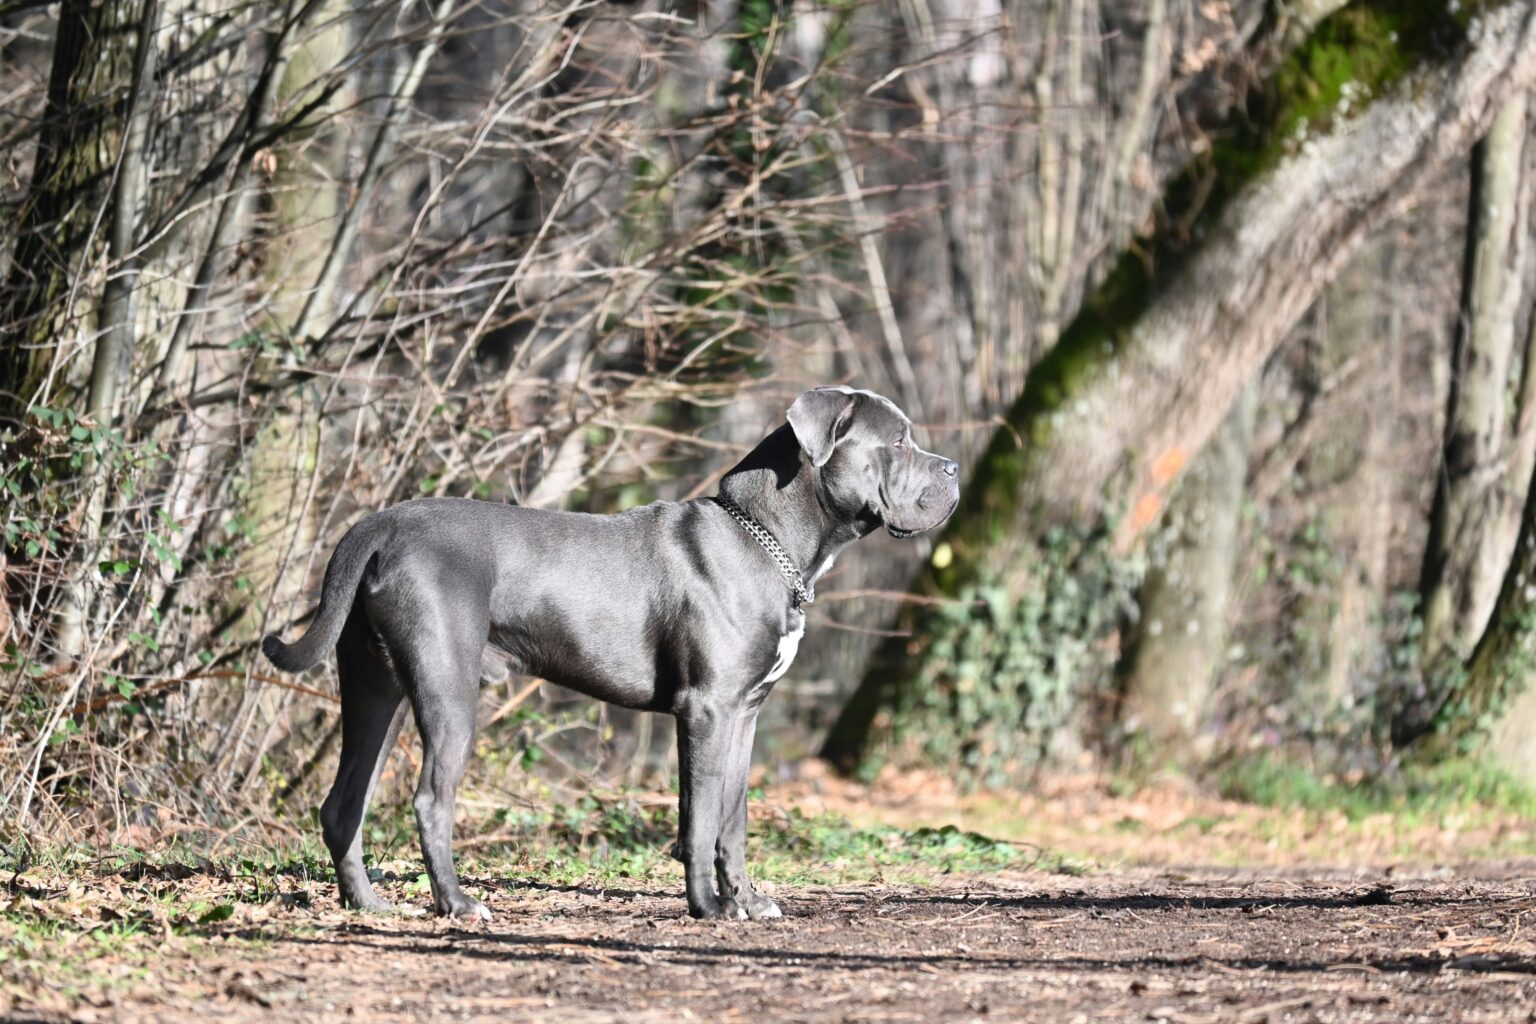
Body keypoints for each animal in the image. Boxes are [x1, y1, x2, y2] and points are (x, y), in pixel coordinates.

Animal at [264, 383, 958, 921]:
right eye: (898, 442)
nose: (951, 468)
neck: (766, 537)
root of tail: (378, 525)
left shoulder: (745, 714)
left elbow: (733, 817)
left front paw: (746, 900)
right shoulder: (707, 711)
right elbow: (699, 817)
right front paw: (709, 907)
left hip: (376, 689)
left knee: (344, 803)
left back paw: (368, 905)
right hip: (447, 691)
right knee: (431, 800)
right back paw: (457, 904)